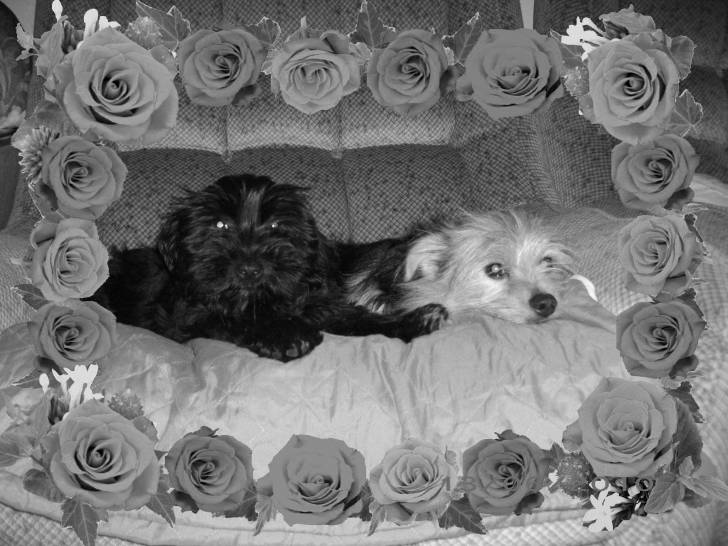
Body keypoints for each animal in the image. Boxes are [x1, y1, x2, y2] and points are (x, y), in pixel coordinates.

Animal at [91, 174, 446, 361]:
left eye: (276, 225)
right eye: (220, 225)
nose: (250, 267)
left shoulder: (316, 307)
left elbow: (357, 318)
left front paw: (413, 320)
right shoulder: (190, 317)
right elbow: (232, 319)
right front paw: (283, 336)